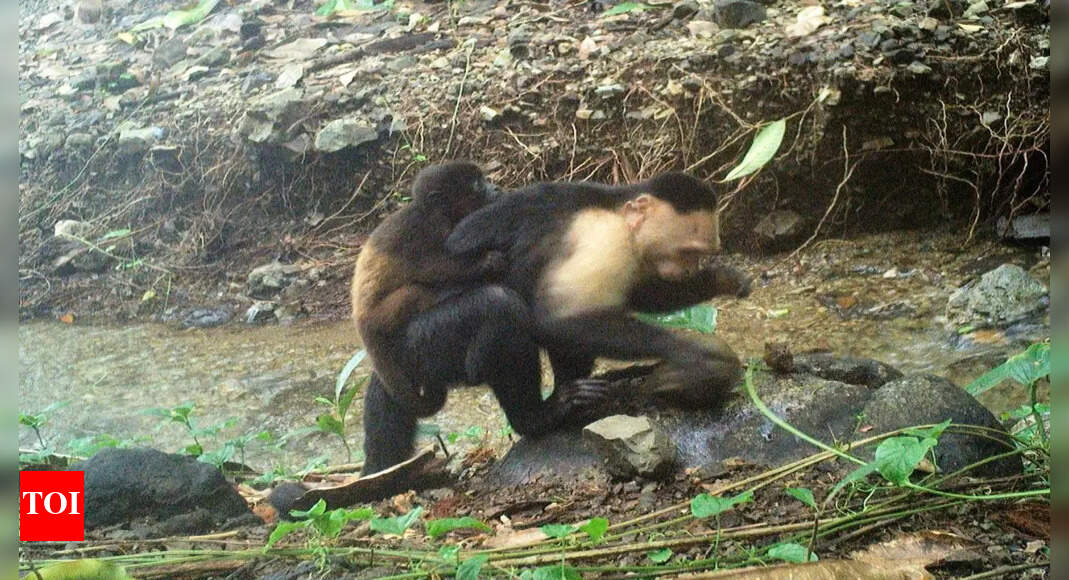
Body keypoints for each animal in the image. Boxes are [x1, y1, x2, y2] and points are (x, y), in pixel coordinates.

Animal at [352, 161, 507, 417]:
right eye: (477, 184)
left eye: (483, 178)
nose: (495, 187)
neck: (434, 211)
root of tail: (360, 320)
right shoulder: (429, 228)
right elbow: (431, 267)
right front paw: (488, 261)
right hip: (381, 315)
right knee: (414, 289)